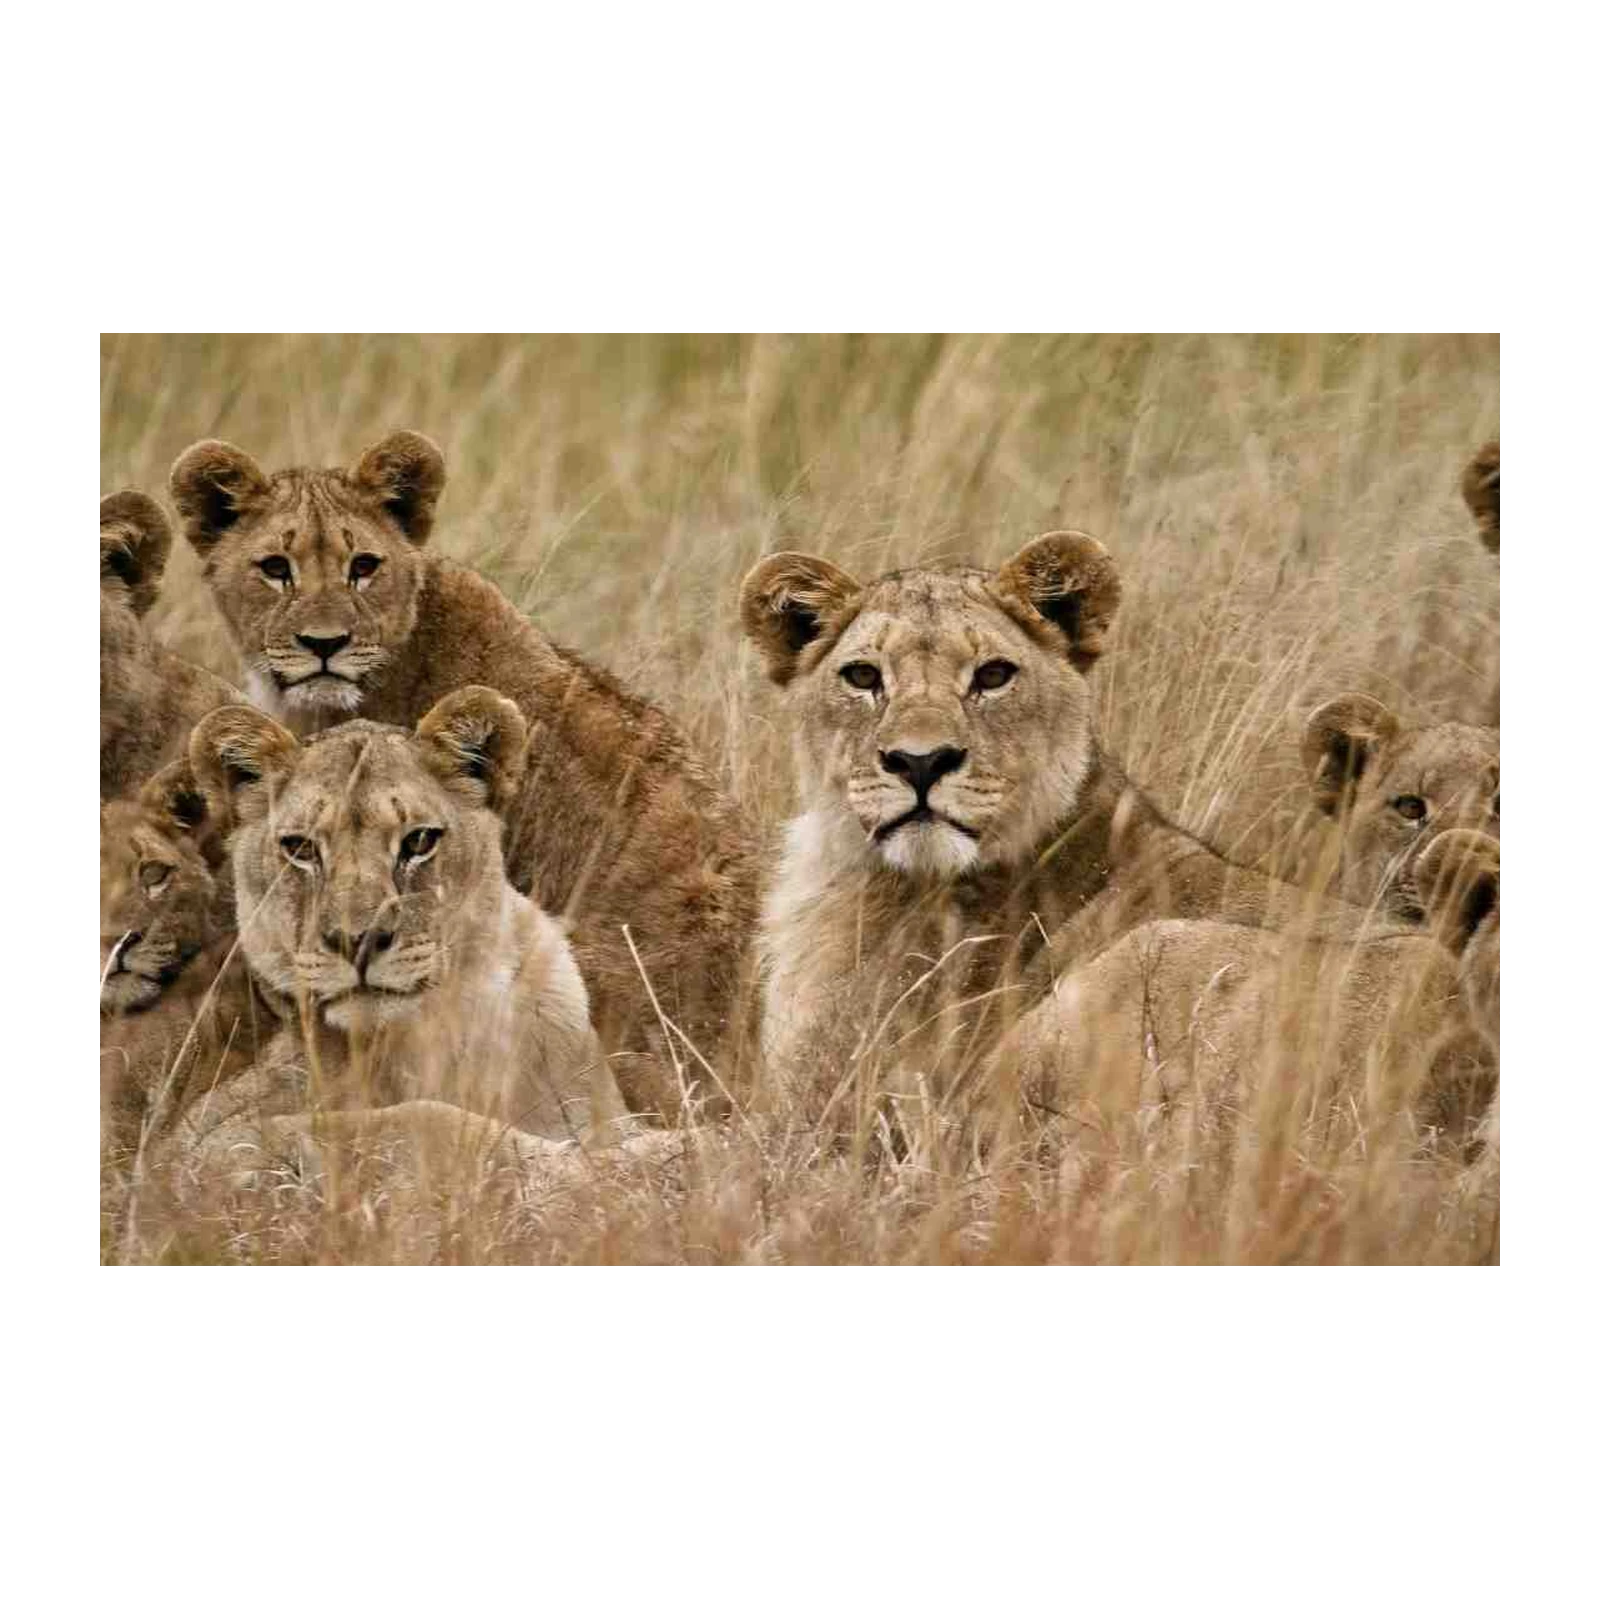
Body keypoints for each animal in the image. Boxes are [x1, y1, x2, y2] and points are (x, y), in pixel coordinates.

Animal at [172, 687, 627, 1172]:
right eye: (301, 848)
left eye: (419, 841)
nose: (357, 941)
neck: (433, 1037)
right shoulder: (195, 1148)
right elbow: (419, 1119)